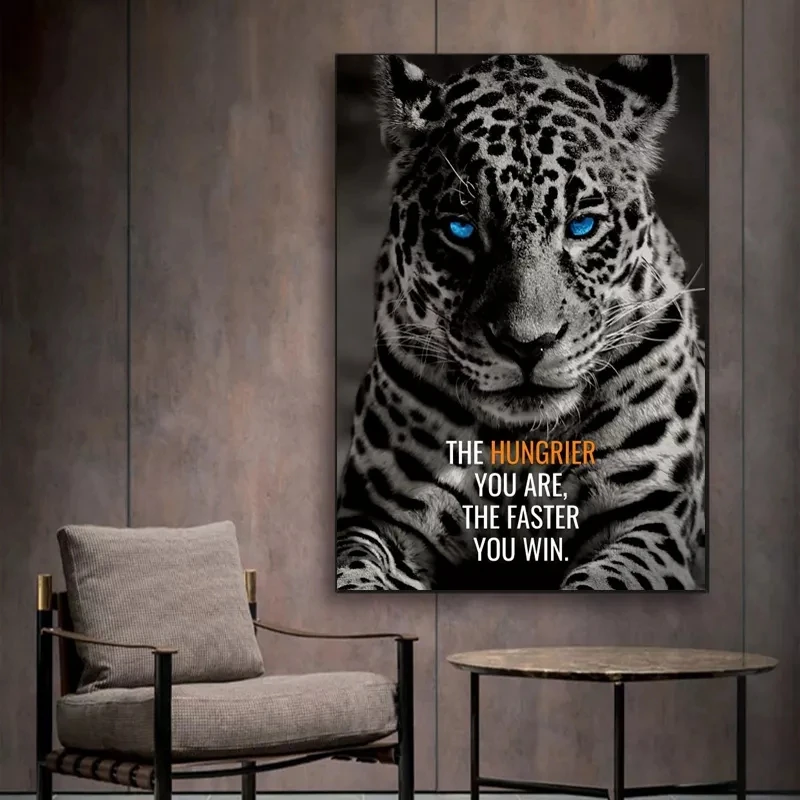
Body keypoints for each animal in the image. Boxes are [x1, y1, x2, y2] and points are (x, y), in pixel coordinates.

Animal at [335, 53, 706, 591]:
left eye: (582, 226)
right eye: (461, 229)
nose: (528, 345)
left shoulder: (650, 520)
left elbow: (603, 581)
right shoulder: (379, 517)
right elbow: (354, 573)